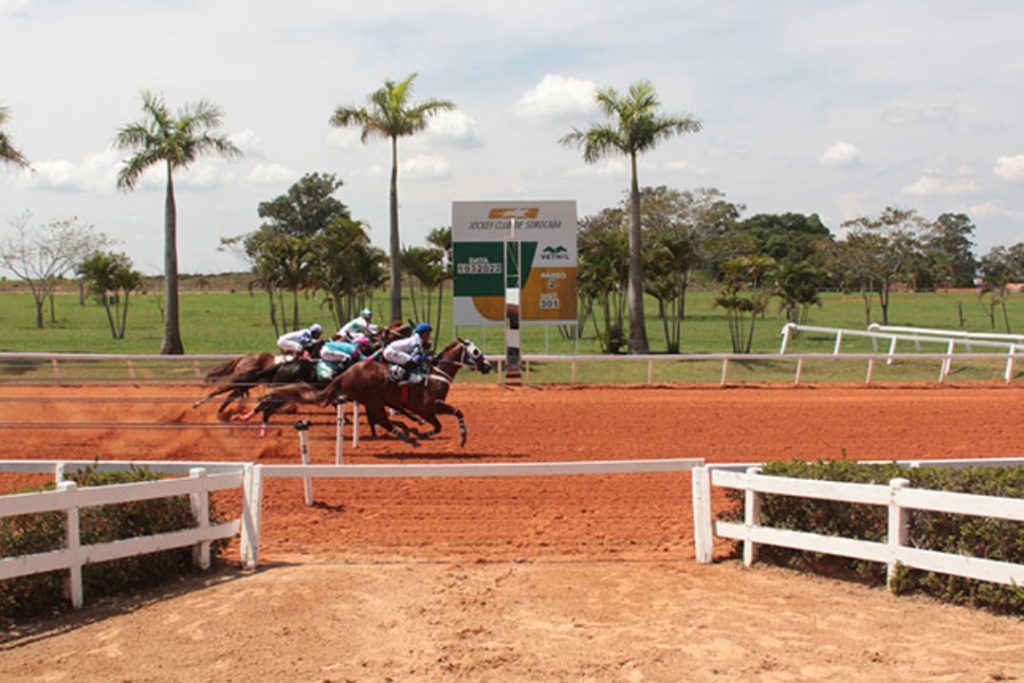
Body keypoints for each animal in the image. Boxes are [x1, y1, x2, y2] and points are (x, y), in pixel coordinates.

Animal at [245, 337, 489, 448]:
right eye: (476, 352)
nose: (487, 366)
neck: (436, 374)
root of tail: (346, 374)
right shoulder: (429, 406)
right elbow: (449, 416)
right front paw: (456, 437)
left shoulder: (421, 407)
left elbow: (443, 420)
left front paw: (420, 430)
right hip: (372, 398)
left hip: (372, 399)